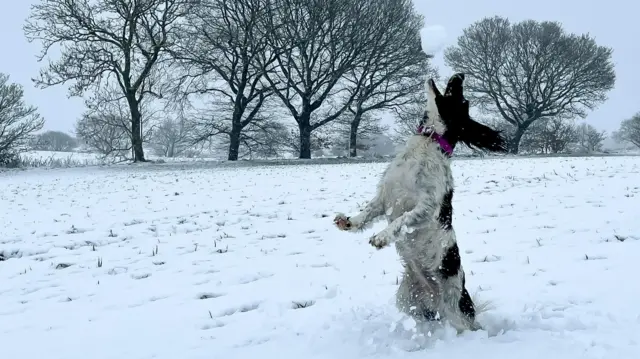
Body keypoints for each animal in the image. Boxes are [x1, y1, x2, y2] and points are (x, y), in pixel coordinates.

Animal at [332, 73, 508, 334]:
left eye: (460, 99)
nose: (460, 75)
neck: (428, 140)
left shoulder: (427, 207)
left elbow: (401, 220)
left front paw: (381, 237)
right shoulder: (384, 197)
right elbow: (367, 212)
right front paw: (348, 222)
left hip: (454, 309)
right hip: (408, 300)